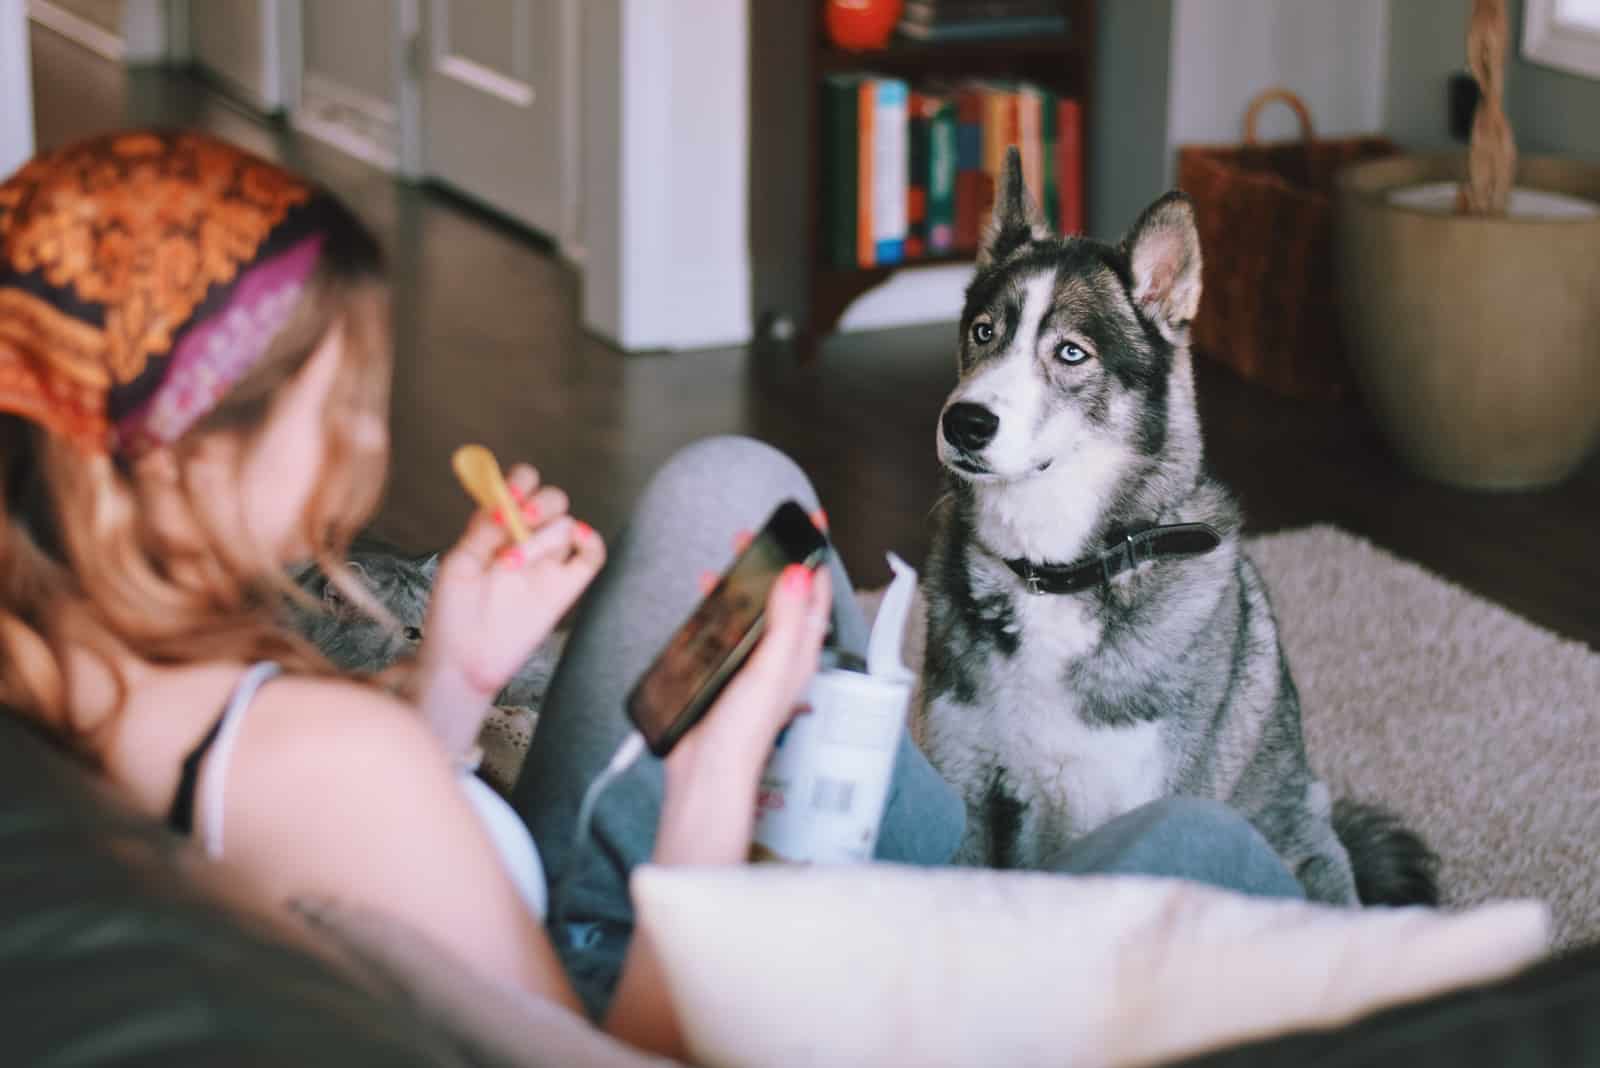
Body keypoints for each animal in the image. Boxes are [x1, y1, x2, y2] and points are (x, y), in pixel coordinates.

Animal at [921, 146, 1446, 908]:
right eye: (983, 332)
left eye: (1071, 353)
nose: (963, 423)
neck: (1057, 575)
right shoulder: (966, 790)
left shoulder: (1133, 813)